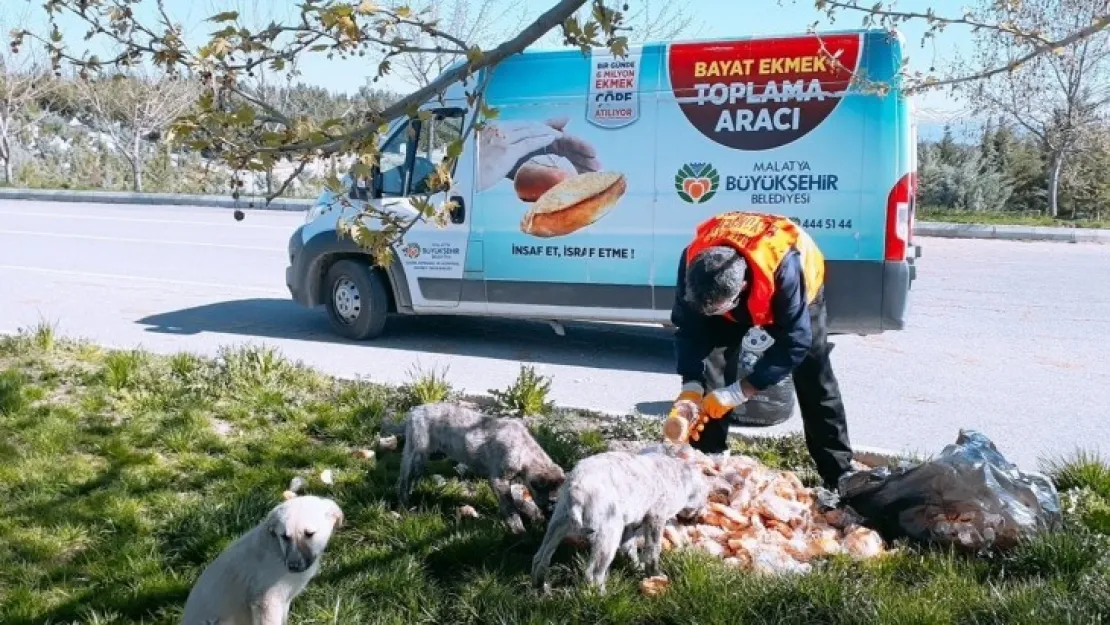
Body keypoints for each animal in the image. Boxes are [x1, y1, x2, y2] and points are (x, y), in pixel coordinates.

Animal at [179, 497, 344, 621]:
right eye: (285, 537)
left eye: (309, 534)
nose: (293, 566)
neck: (278, 550)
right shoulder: (266, 601)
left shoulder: (284, 601)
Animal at [386, 406, 568, 532]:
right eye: (552, 501)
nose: (550, 513)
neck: (524, 449)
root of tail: (413, 413)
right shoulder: (499, 480)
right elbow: (509, 507)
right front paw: (518, 528)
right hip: (418, 455)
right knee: (403, 481)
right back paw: (405, 505)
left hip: (423, 457)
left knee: (407, 478)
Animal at [530, 452, 705, 595]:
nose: (700, 518)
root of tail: (576, 492)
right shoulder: (656, 517)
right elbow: (653, 551)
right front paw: (655, 574)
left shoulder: (632, 524)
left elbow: (630, 548)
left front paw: (638, 568)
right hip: (609, 534)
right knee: (593, 573)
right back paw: (602, 597)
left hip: (557, 525)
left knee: (540, 559)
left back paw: (541, 589)